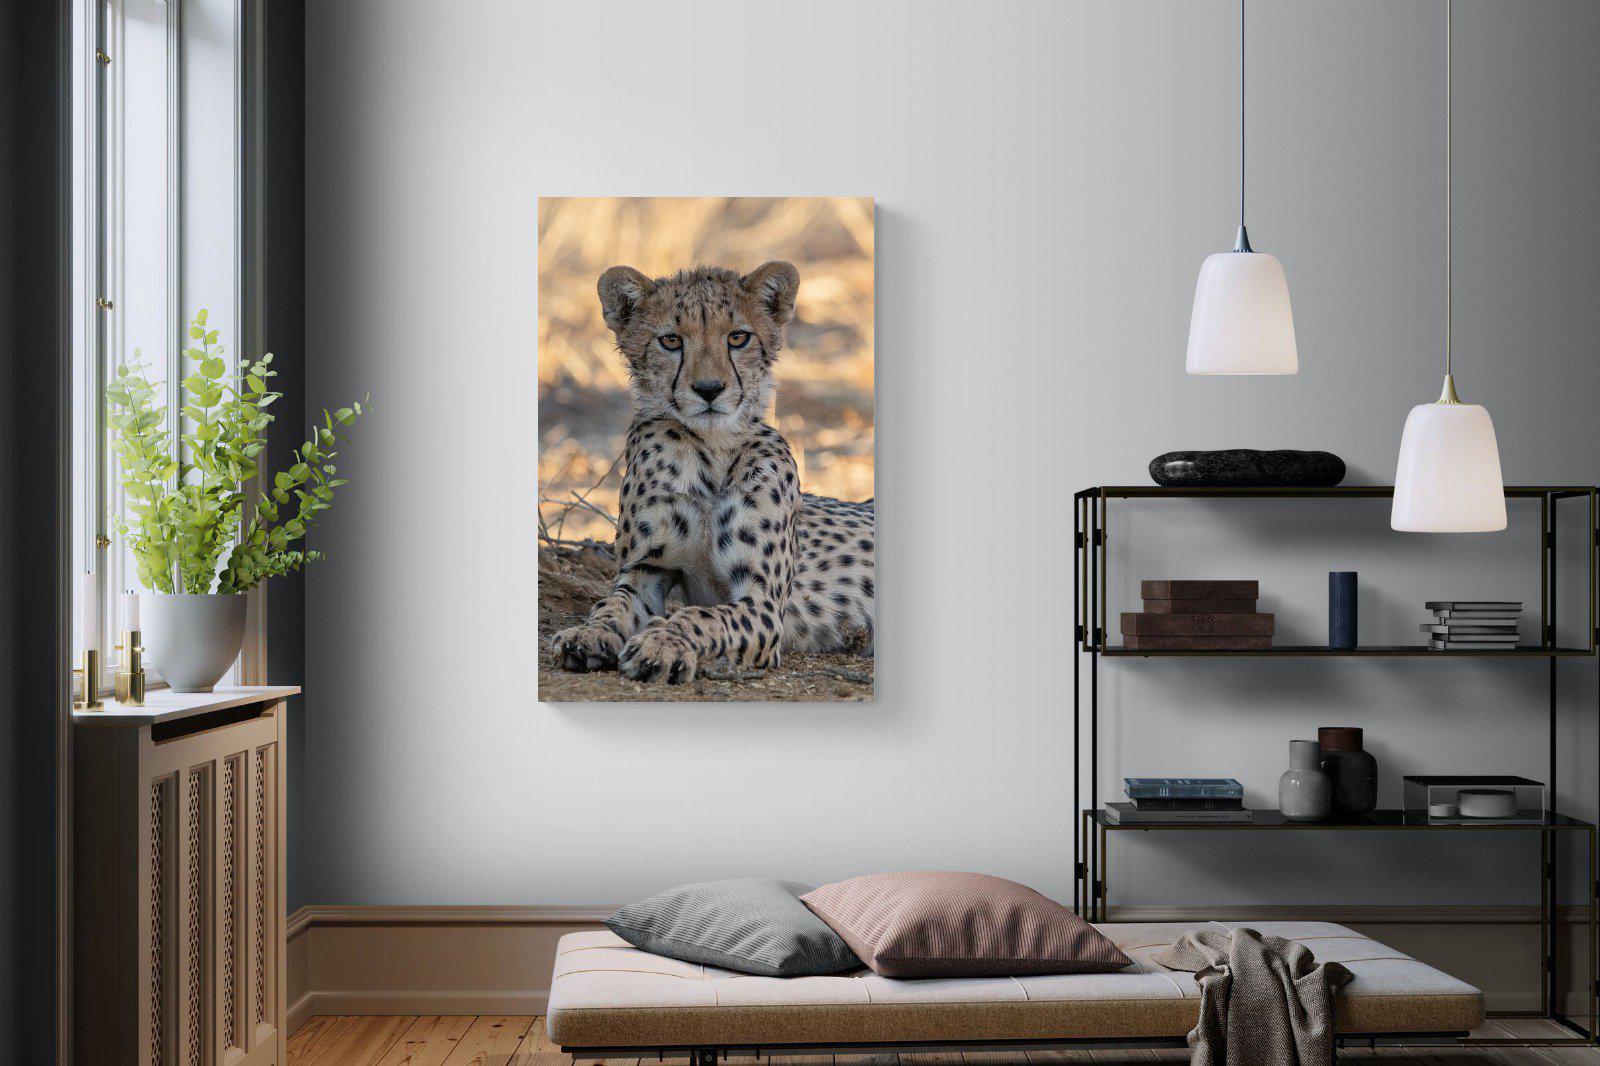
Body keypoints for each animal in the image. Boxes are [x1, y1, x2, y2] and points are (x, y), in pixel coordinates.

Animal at [549, 260, 875, 684]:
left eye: (738, 337)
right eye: (671, 341)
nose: (708, 389)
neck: (711, 450)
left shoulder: (762, 602)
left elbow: (702, 616)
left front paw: (662, 644)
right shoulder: (646, 571)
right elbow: (611, 605)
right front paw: (587, 634)